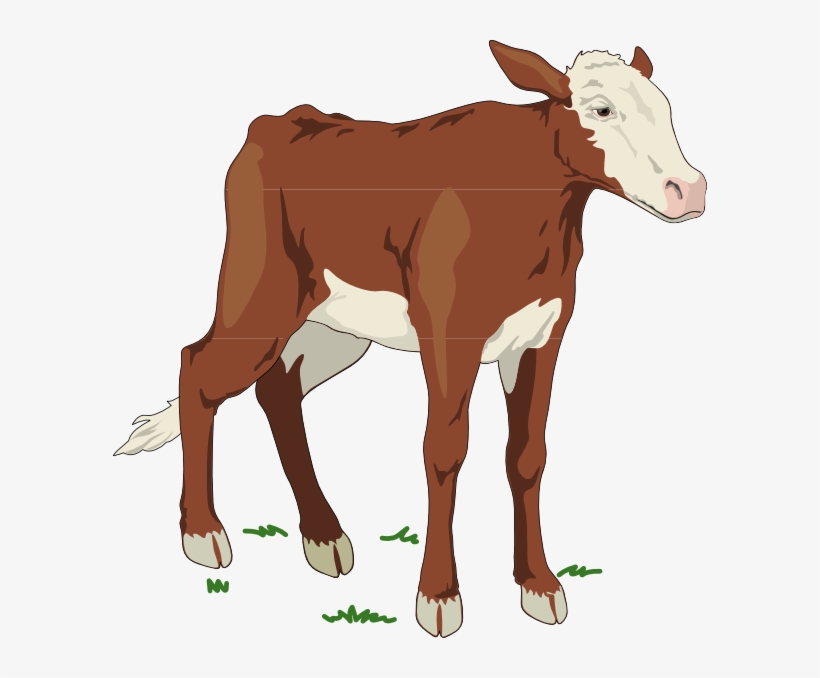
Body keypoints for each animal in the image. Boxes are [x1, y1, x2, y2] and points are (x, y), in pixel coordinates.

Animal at [115, 40, 706, 637]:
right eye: (602, 110)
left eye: (668, 109)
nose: (689, 189)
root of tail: (278, 122)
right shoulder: (448, 332)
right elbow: (444, 452)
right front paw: (438, 595)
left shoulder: (543, 335)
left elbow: (527, 455)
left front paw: (538, 584)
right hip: (261, 294)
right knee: (198, 367)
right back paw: (203, 532)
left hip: (338, 326)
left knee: (277, 389)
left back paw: (323, 535)